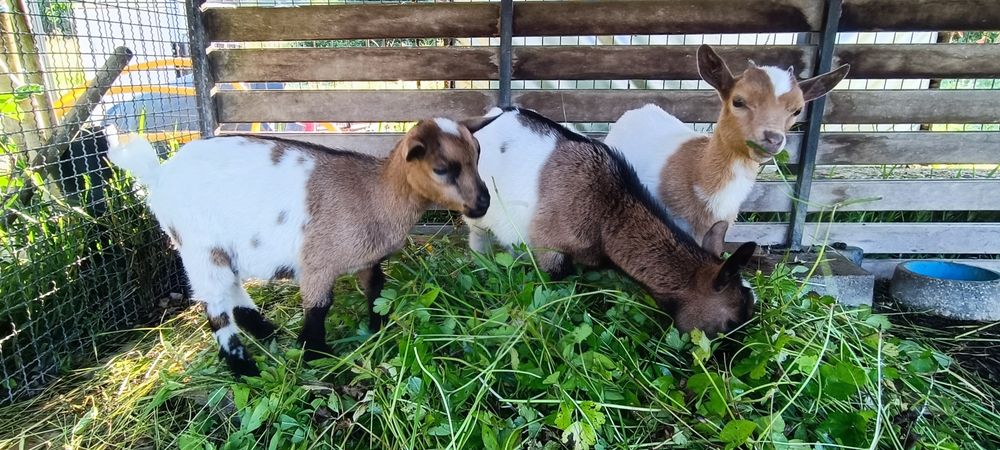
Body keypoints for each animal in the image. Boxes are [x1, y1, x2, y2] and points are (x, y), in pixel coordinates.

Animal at [108, 118, 491, 376]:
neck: (374, 193)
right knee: (216, 307)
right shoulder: (317, 261)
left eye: (478, 154)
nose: (483, 203)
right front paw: (314, 353)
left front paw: (377, 329)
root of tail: (159, 175)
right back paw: (244, 366)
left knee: (231, 288)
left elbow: (376, 290)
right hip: (200, 246)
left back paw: (264, 330)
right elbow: (319, 307)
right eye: (441, 168)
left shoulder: (367, 257)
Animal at [465, 107, 757, 336]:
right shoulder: (549, 249)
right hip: (477, 214)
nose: (725, 363)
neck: (607, 210)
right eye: (731, 322)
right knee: (478, 240)